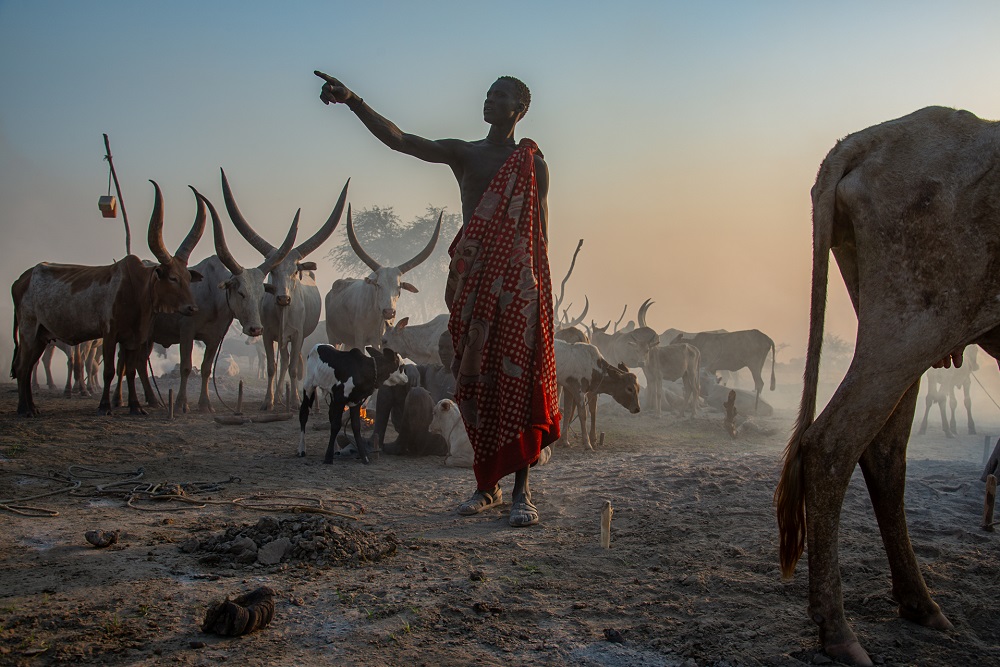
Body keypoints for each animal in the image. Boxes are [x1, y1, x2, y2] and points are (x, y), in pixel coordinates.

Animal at [11, 180, 205, 414]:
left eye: (187, 277)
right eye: (173, 278)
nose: (192, 308)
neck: (136, 290)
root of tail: (22, 279)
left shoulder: (134, 338)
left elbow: (130, 370)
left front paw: (135, 406)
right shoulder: (110, 334)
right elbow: (109, 371)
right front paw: (105, 405)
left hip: (42, 335)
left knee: (29, 366)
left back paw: (31, 406)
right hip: (29, 330)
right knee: (22, 367)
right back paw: (25, 408)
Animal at [222, 168, 348, 408]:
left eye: (294, 271)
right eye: (272, 270)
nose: (283, 299)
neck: (282, 311)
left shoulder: (298, 336)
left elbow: (292, 368)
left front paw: (297, 400)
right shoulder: (266, 335)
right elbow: (272, 366)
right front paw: (268, 401)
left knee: (291, 362)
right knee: (282, 361)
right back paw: (280, 395)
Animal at [326, 209, 440, 352]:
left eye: (399, 287)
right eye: (378, 285)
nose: (389, 312)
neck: (376, 315)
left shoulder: (379, 340)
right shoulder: (360, 338)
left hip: (349, 342)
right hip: (334, 338)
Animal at [776, 107, 1000, 664]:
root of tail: (864, 140)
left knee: (884, 450)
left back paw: (920, 603)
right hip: (919, 316)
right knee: (832, 443)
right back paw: (838, 629)